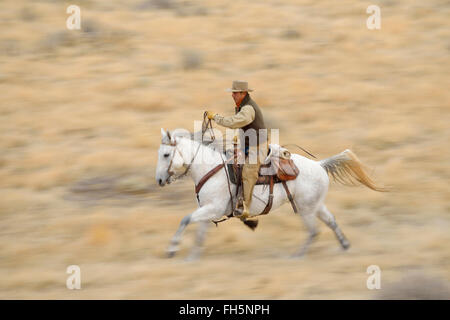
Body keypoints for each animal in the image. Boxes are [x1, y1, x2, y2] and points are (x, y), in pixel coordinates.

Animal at [155, 127, 384, 260]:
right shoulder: (207, 209)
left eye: (166, 154)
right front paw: (192, 257)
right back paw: (344, 245)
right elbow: (200, 233)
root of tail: (320, 165)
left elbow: (185, 220)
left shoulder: (213, 208)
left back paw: (298, 255)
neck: (211, 168)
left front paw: (172, 249)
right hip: (314, 206)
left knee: (313, 230)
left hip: (306, 209)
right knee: (331, 221)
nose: (159, 180)